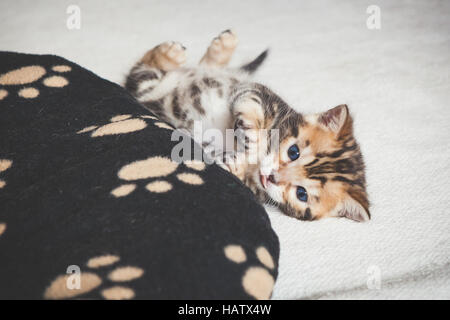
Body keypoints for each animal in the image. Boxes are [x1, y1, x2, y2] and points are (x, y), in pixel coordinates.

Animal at [124, 30, 370, 221]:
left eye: (302, 194)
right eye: (293, 152)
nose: (272, 177)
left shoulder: (255, 189)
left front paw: (237, 162)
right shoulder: (258, 92)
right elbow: (253, 103)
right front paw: (252, 139)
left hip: (152, 94)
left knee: (142, 76)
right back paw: (190, 50)